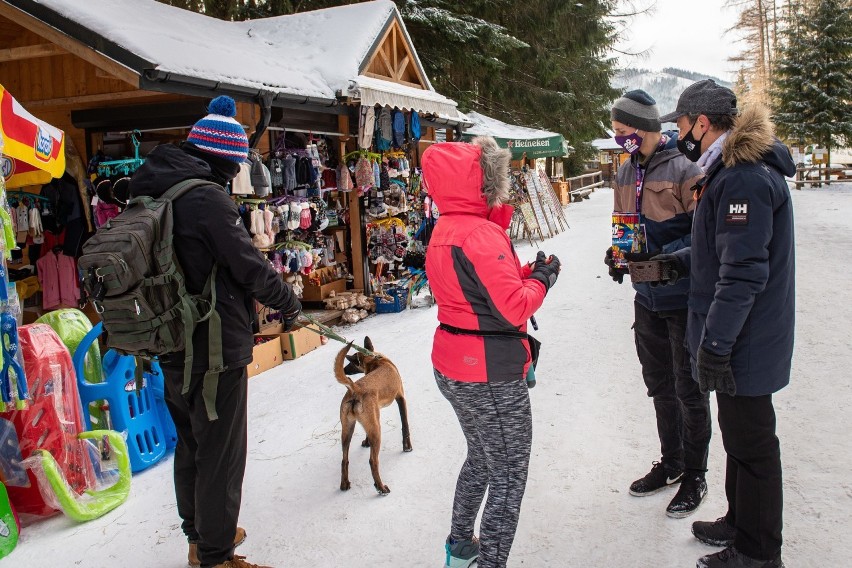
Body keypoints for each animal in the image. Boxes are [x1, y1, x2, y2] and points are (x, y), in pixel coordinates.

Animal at [334, 338, 412, 492]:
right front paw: (407, 447)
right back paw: (381, 488)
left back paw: (344, 484)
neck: (375, 360)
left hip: (348, 429)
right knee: (372, 461)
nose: (345, 370)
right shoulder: (400, 398)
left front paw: (366, 442)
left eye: (351, 363)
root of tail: (354, 389)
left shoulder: (371, 419)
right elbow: (405, 425)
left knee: (344, 459)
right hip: (377, 431)